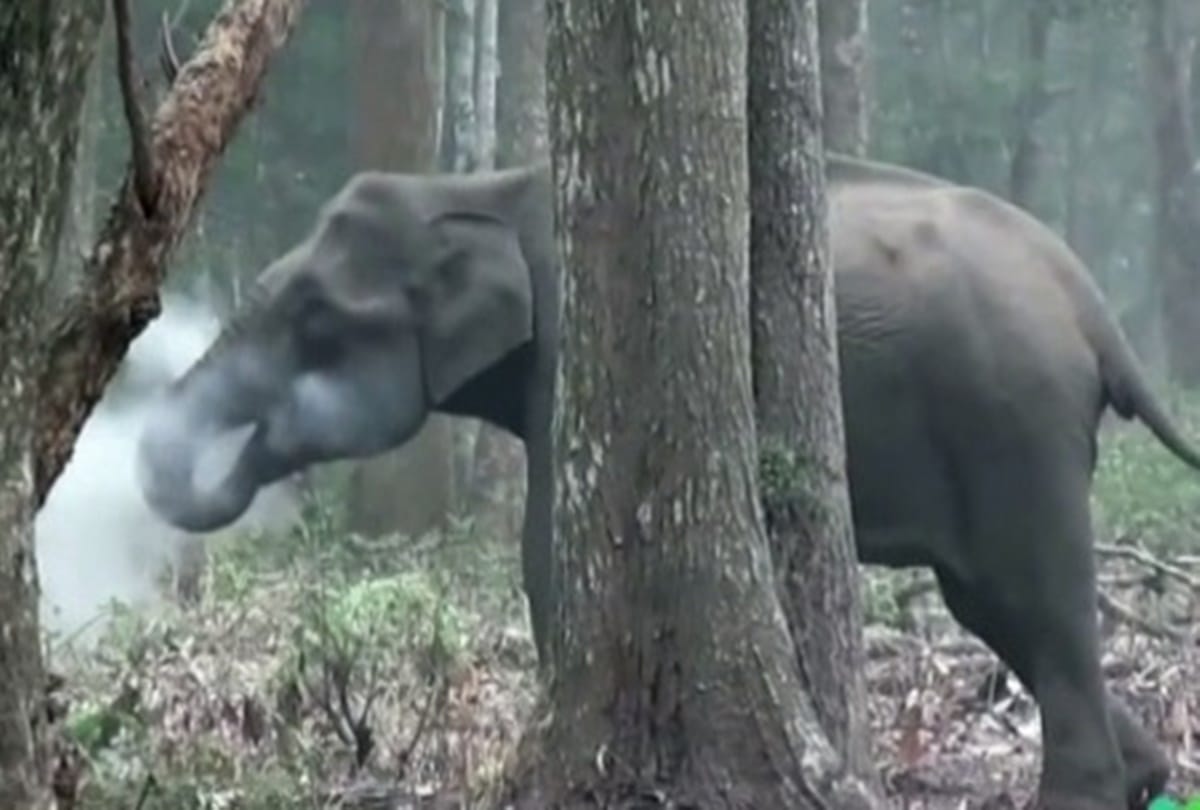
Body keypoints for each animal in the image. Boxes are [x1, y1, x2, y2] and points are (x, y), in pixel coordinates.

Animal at [136, 155, 1200, 810]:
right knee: (992, 603)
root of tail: (1091, 305)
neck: (483, 186)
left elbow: (546, 553)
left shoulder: (574, 349)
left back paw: (1085, 795)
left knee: (1032, 594)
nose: (265, 438)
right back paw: (1145, 778)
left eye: (314, 318)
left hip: (1013, 420)